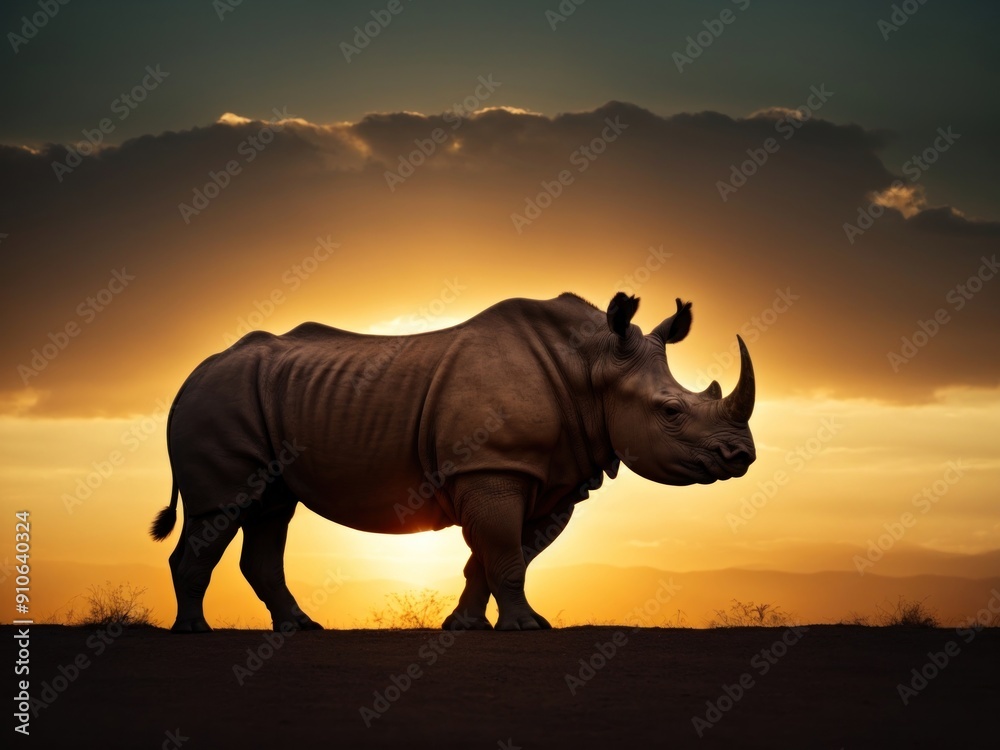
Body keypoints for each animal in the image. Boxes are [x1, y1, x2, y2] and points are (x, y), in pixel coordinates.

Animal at [151, 292, 755, 632]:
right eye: (671, 412)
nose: (742, 456)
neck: (590, 366)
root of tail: (192, 376)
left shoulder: (549, 475)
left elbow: (497, 556)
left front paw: (466, 624)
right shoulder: (494, 465)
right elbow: (505, 554)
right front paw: (526, 629)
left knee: (271, 508)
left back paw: (300, 627)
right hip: (220, 400)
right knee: (222, 509)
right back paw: (194, 632)